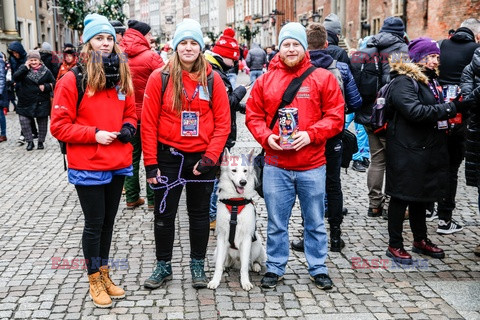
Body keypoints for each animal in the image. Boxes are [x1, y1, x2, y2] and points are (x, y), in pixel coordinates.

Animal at [206, 149, 266, 292]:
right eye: (234, 170)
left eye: (245, 171)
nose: (243, 182)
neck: (235, 202)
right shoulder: (222, 237)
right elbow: (218, 265)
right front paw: (215, 281)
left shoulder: (246, 238)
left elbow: (244, 267)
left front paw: (245, 282)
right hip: (220, 250)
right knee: (224, 261)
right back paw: (226, 265)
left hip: (256, 244)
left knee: (252, 261)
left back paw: (256, 266)